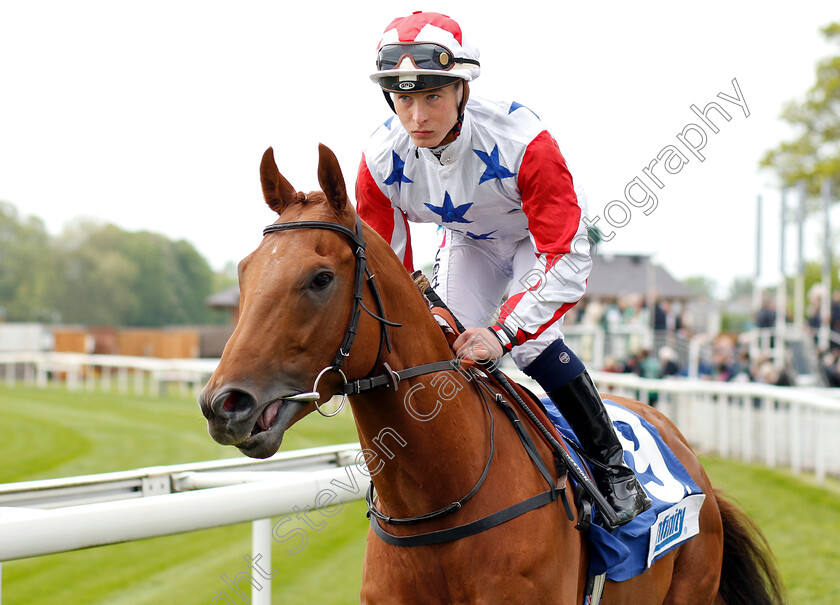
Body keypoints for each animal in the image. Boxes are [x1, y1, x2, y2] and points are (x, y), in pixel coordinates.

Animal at [200, 146, 784, 604]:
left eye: (320, 278)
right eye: (244, 272)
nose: (223, 403)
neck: (438, 505)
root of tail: (689, 453)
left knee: (545, 345)